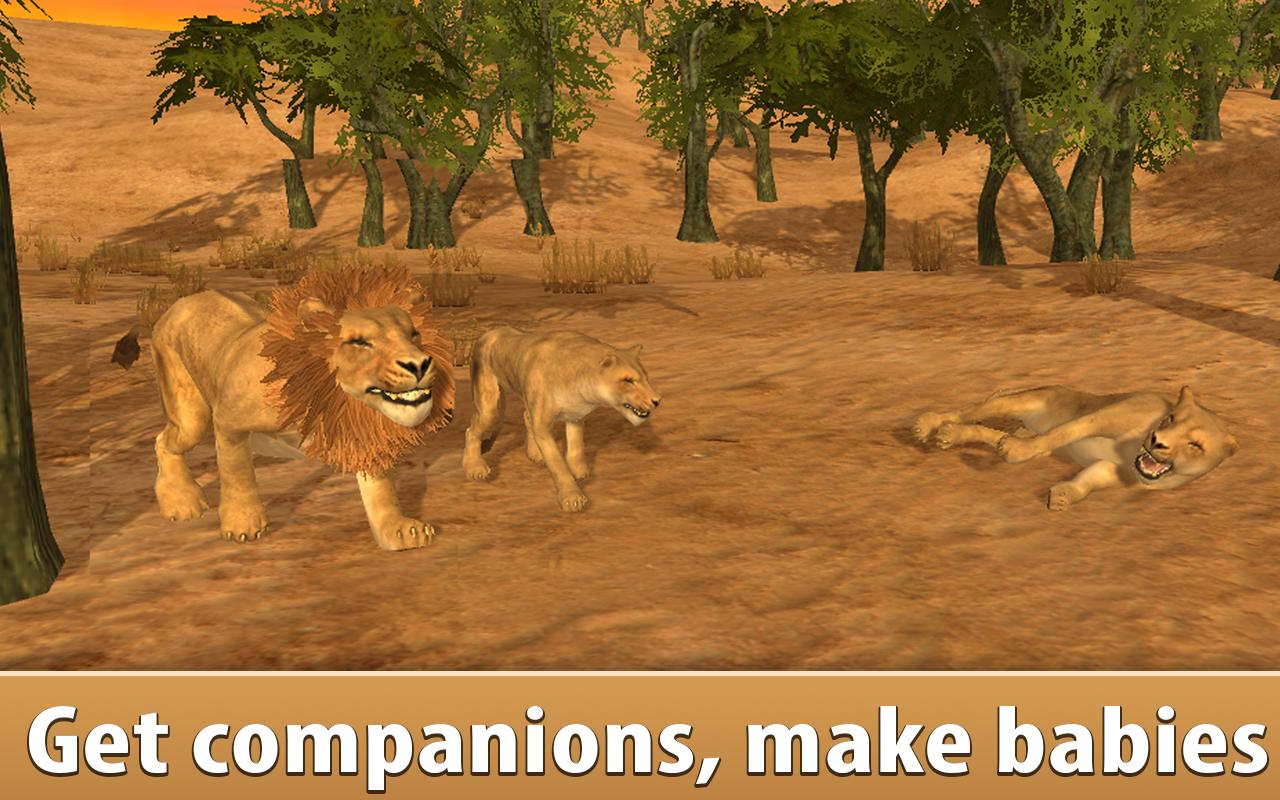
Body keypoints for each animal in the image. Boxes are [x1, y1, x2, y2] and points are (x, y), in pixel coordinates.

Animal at [147, 263, 454, 550]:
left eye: (413, 335)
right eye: (360, 342)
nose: (419, 364)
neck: (327, 399)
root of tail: (185, 300)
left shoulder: (360, 435)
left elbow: (380, 488)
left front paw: (398, 530)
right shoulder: (228, 422)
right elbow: (237, 473)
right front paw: (243, 523)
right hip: (191, 415)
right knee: (163, 440)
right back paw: (182, 503)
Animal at [462, 327, 662, 512]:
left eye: (646, 378)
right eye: (628, 380)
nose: (657, 401)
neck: (581, 380)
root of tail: (490, 332)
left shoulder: (575, 416)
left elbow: (576, 448)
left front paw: (578, 471)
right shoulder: (543, 427)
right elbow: (557, 464)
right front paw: (572, 497)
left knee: (526, 416)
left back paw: (535, 453)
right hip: (489, 406)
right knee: (471, 430)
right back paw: (474, 467)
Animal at [913, 385, 1238, 510]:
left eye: (1195, 444)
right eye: (1170, 418)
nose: (1157, 440)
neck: (1131, 453)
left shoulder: (1117, 472)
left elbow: (1089, 480)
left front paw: (1063, 496)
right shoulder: (1103, 415)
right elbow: (1063, 431)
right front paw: (1017, 453)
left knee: (990, 433)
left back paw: (951, 435)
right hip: (1018, 401)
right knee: (970, 411)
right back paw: (928, 424)